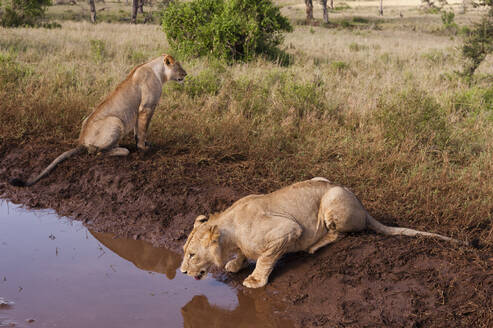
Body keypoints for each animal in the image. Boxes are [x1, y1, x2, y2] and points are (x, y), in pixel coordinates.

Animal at [9, 55, 186, 186]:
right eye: (178, 66)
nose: (186, 74)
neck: (159, 72)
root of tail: (81, 141)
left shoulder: (139, 111)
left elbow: (138, 131)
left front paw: (143, 144)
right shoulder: (146, 108)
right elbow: (143, 130)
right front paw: (143, 148)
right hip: (116, 121)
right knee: (97, 152)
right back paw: (122, 149)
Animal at [181, 178, 466, 288]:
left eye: (192, 255)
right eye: (184, 252)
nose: (181, 273)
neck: (230, 232)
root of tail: (362, 205)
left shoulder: (287, 229)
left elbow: (265, 258)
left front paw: (254, 279)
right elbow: (243, 254)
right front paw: (235, 264)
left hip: (332, 197)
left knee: (340, 234)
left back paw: (314, 246)